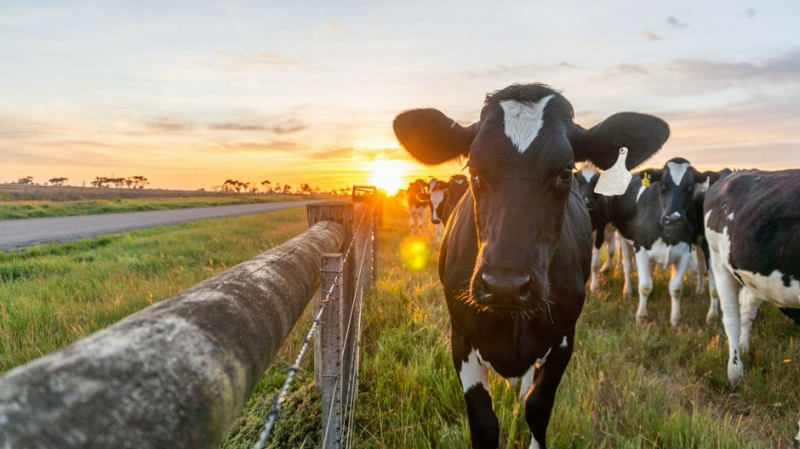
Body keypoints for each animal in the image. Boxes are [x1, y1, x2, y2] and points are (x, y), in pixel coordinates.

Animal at [576, 165, 620, 294]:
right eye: (579, 182)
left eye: (596, 183)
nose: (587, 202)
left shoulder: (599, 234)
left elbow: (594, 264)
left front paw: (594, 287)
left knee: (615, 250)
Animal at [608, 158, 716, 326]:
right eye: (663, 185)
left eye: (690, 187)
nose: (672, 219)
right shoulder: (641, 248)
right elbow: (644, 286)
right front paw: (641, 318)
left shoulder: (684, 251)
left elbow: (676, 288)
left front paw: (675, 320)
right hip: (623, 237)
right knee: (627, 265)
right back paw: (627, 292)